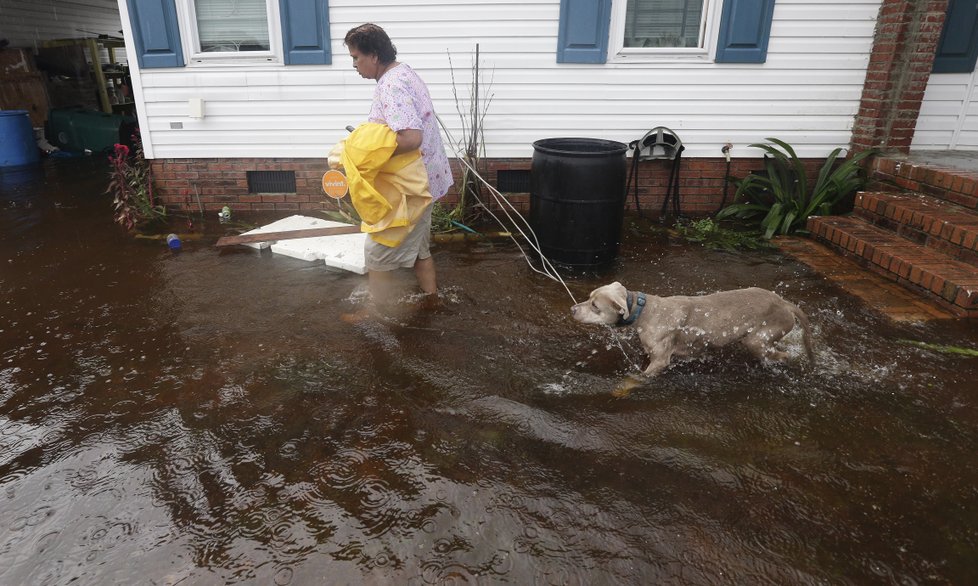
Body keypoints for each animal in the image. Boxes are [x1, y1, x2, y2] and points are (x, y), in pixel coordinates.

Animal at [568, 282, 812, 374]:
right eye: (588, 297)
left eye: (595, 305)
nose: (572, 309)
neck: (643, 311)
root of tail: (785, 303)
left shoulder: (660, 360)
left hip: (757, 339)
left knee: (783, 354)